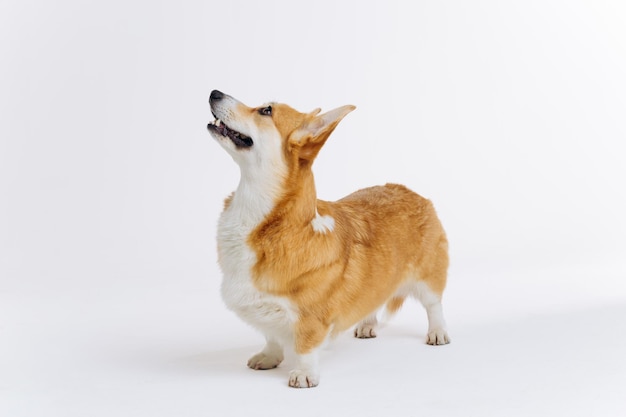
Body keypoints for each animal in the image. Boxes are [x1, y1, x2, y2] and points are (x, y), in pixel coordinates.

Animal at [206, 90, 448, 386]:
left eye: (266, 111)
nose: (214, 93)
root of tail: (411, 191)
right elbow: (271, 336)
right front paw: (269, 357)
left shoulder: (312, 317)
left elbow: (305, 346)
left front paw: (304, 374)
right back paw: (366, 326)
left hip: (428, 277)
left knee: (434, 305)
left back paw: (438, 333)